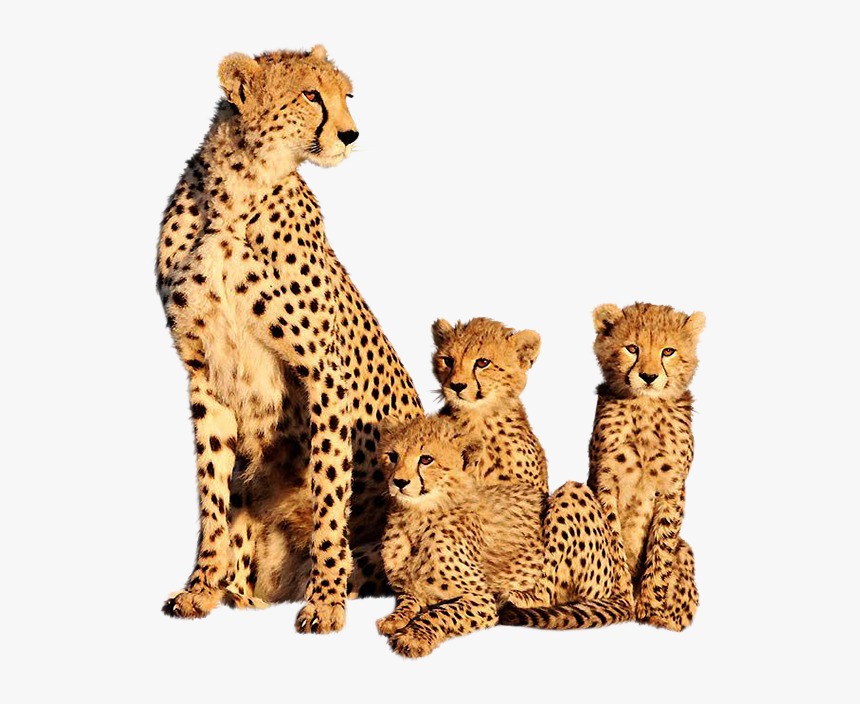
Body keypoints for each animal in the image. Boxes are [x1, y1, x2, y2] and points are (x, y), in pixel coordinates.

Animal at [156, 45, 422, 633]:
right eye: (310, 94)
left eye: (346, 94)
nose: (351, 134)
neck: (238, 193)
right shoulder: (203, 373)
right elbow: (212, 489)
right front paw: (201, 588)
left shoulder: (323, 372)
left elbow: (329, 489)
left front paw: (324, 601)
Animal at [377, 415, 629, 657]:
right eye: (393, 456)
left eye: (426, 460)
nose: (399, 482)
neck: (416, 518)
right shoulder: (408, 587)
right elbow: (409, 599)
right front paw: (394, 619)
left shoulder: (480, 599)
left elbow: (441, 613)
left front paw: (413, 637)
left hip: (572, 493)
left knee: (548, 593)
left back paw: (513, 597)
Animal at [587, 302, 705, 631]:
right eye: (632, 348)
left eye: (668, 351)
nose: (649, 376)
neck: (646, 407)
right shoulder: (605, 481)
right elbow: (612, 541)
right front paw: (621, 598)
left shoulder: (672, 488)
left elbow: (661, 547)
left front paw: (651, 607)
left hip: (685, 550)